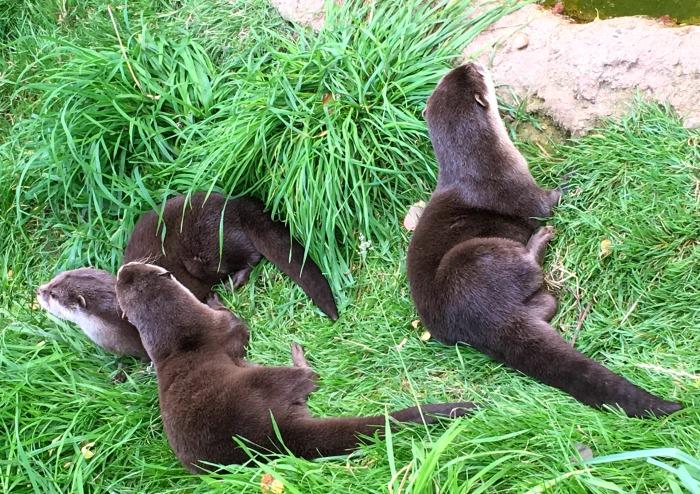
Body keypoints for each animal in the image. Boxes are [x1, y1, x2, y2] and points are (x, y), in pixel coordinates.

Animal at [115, 260, 476, 472]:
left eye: (123, 274)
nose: (122, 267)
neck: (177, 339)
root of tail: (265, 438)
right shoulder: (222, 329)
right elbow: (239, 328)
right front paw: (218, 299)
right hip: (262, 381)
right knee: (306, 377)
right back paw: (297, 353)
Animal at [408, 60, 680, 416]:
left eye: (455, 74)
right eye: (474, 75)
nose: (472, 62)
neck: (476, 165)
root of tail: (477, 317)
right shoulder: (517, 187)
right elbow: (547, 204)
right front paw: (574, 177)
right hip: (474, 258)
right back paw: (539, 241)